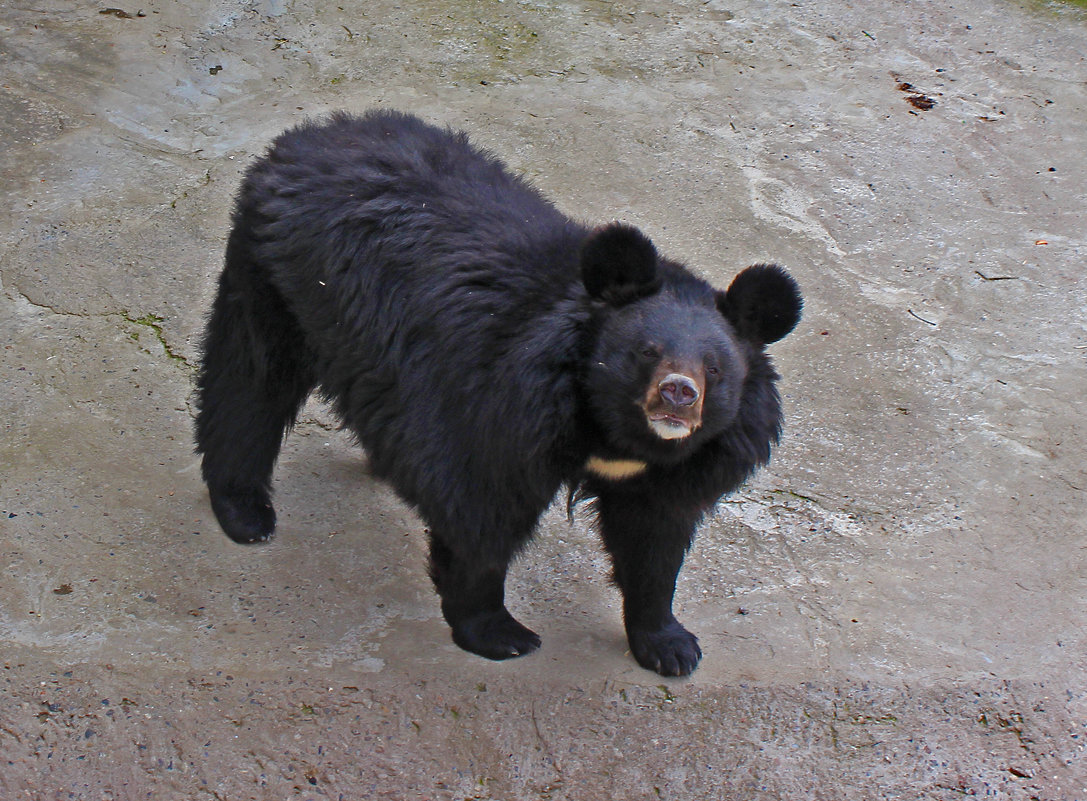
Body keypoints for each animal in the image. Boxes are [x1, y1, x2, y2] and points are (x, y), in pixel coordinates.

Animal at [195, 107, 804, 673]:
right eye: (647, 353)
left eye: (714, 370)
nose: (678, 394)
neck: (611, 431)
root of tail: (308, 137)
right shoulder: (501, 404)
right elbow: (480, 507)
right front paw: (500, 633)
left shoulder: (681, 469)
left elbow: (655, 540)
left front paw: (670, 647)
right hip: (275, 277)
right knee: (249, 384)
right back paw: (245, 512)